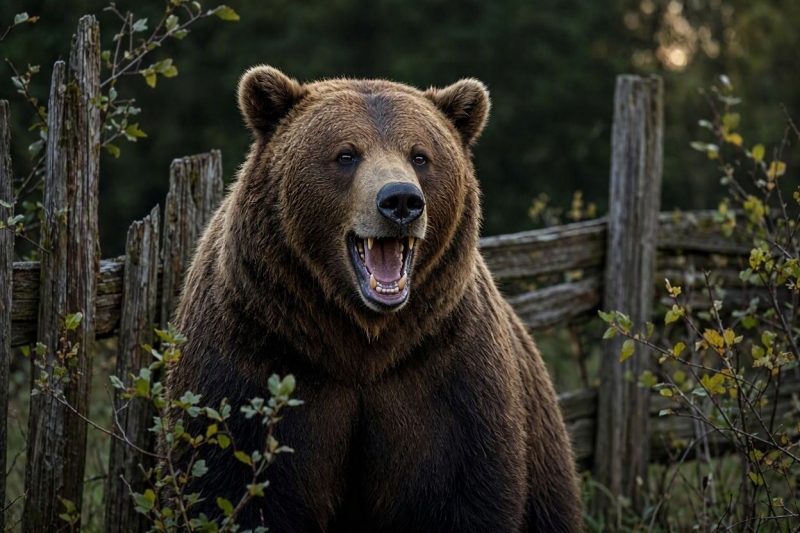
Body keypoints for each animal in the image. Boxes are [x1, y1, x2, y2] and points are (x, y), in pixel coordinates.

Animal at [163, 65, 582, 532]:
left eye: (420, 155)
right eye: (346, 154)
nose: (400, 200)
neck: (363, 341)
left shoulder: (447, 377)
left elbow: (463, 491)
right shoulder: (254, 356)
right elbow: (228, 482)